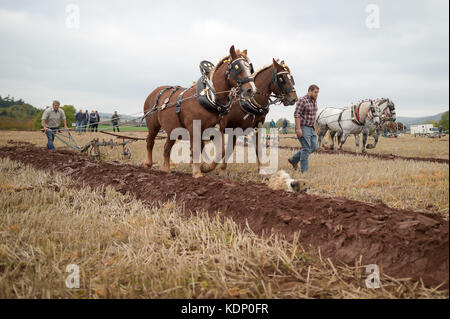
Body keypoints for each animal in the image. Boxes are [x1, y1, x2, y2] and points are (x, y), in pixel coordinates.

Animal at [144, 46, 256, 179]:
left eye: (250, 68)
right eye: (237, 68)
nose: (251, 90)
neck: (210, 97)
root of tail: (154, 92)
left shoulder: (217, 130)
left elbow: (221, 151)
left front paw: (205, 167)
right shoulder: (194, 129)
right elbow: (196, 149)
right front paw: (197, 173)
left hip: (172, 129)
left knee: (167, 148)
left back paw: (166, 169)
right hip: (153, 126)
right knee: (150, 142)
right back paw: (148, 164)